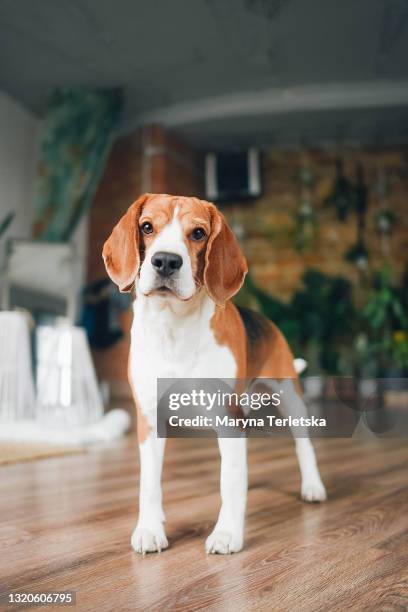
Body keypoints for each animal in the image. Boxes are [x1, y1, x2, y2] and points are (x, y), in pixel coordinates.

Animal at [103, 195, 326, 556]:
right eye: (147, 226)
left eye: (198, 233)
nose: (166, 261)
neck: (174, 327)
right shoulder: (149, 419)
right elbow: (149, 483)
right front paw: (150, 528)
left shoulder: (228, 420)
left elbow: (230, 482)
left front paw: (226, 534)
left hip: (290, 400)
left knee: (303, 446)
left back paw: (313, 486)